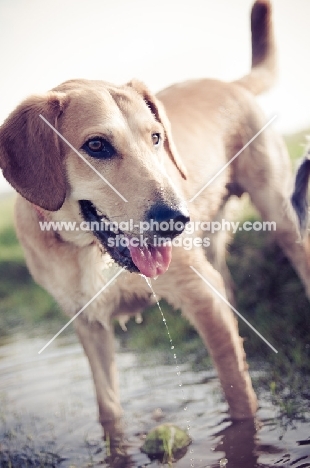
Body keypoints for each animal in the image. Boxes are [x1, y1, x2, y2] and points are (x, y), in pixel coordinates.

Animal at [0, 0, 306, 442]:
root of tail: (229, 83)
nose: (177, 219)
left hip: (281, 217)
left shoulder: (200, 293)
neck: (91, 253)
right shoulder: (89, 325)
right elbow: (109, 411)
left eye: (157, 138)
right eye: (96, 145)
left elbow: (238, 396)